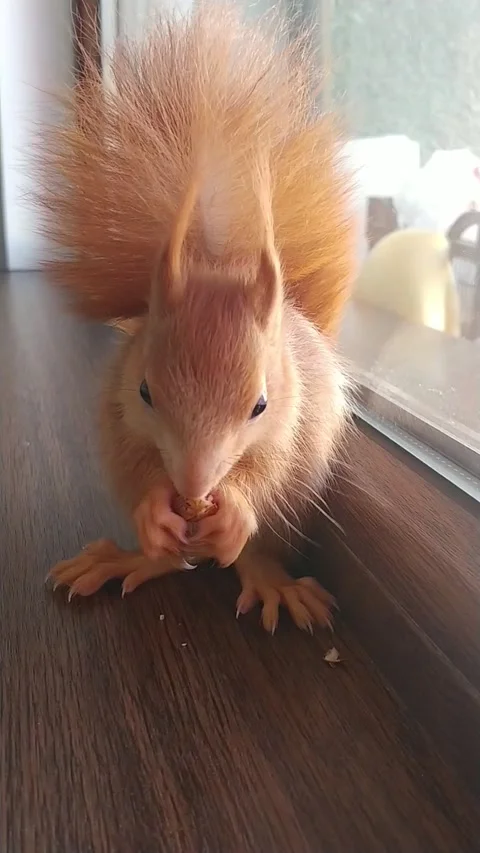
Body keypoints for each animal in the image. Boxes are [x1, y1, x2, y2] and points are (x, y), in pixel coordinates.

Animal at [38, 2, 354, 633]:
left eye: (260, 405)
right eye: (144, 391)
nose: (192, 486)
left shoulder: (294, 419)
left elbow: (269, 470)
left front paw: (234, 508)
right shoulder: (121, 414)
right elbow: (141, 465)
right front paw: (155, 512)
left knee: (253, 554)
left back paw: (271, 580)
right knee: (170, 559)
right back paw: (127, 558)